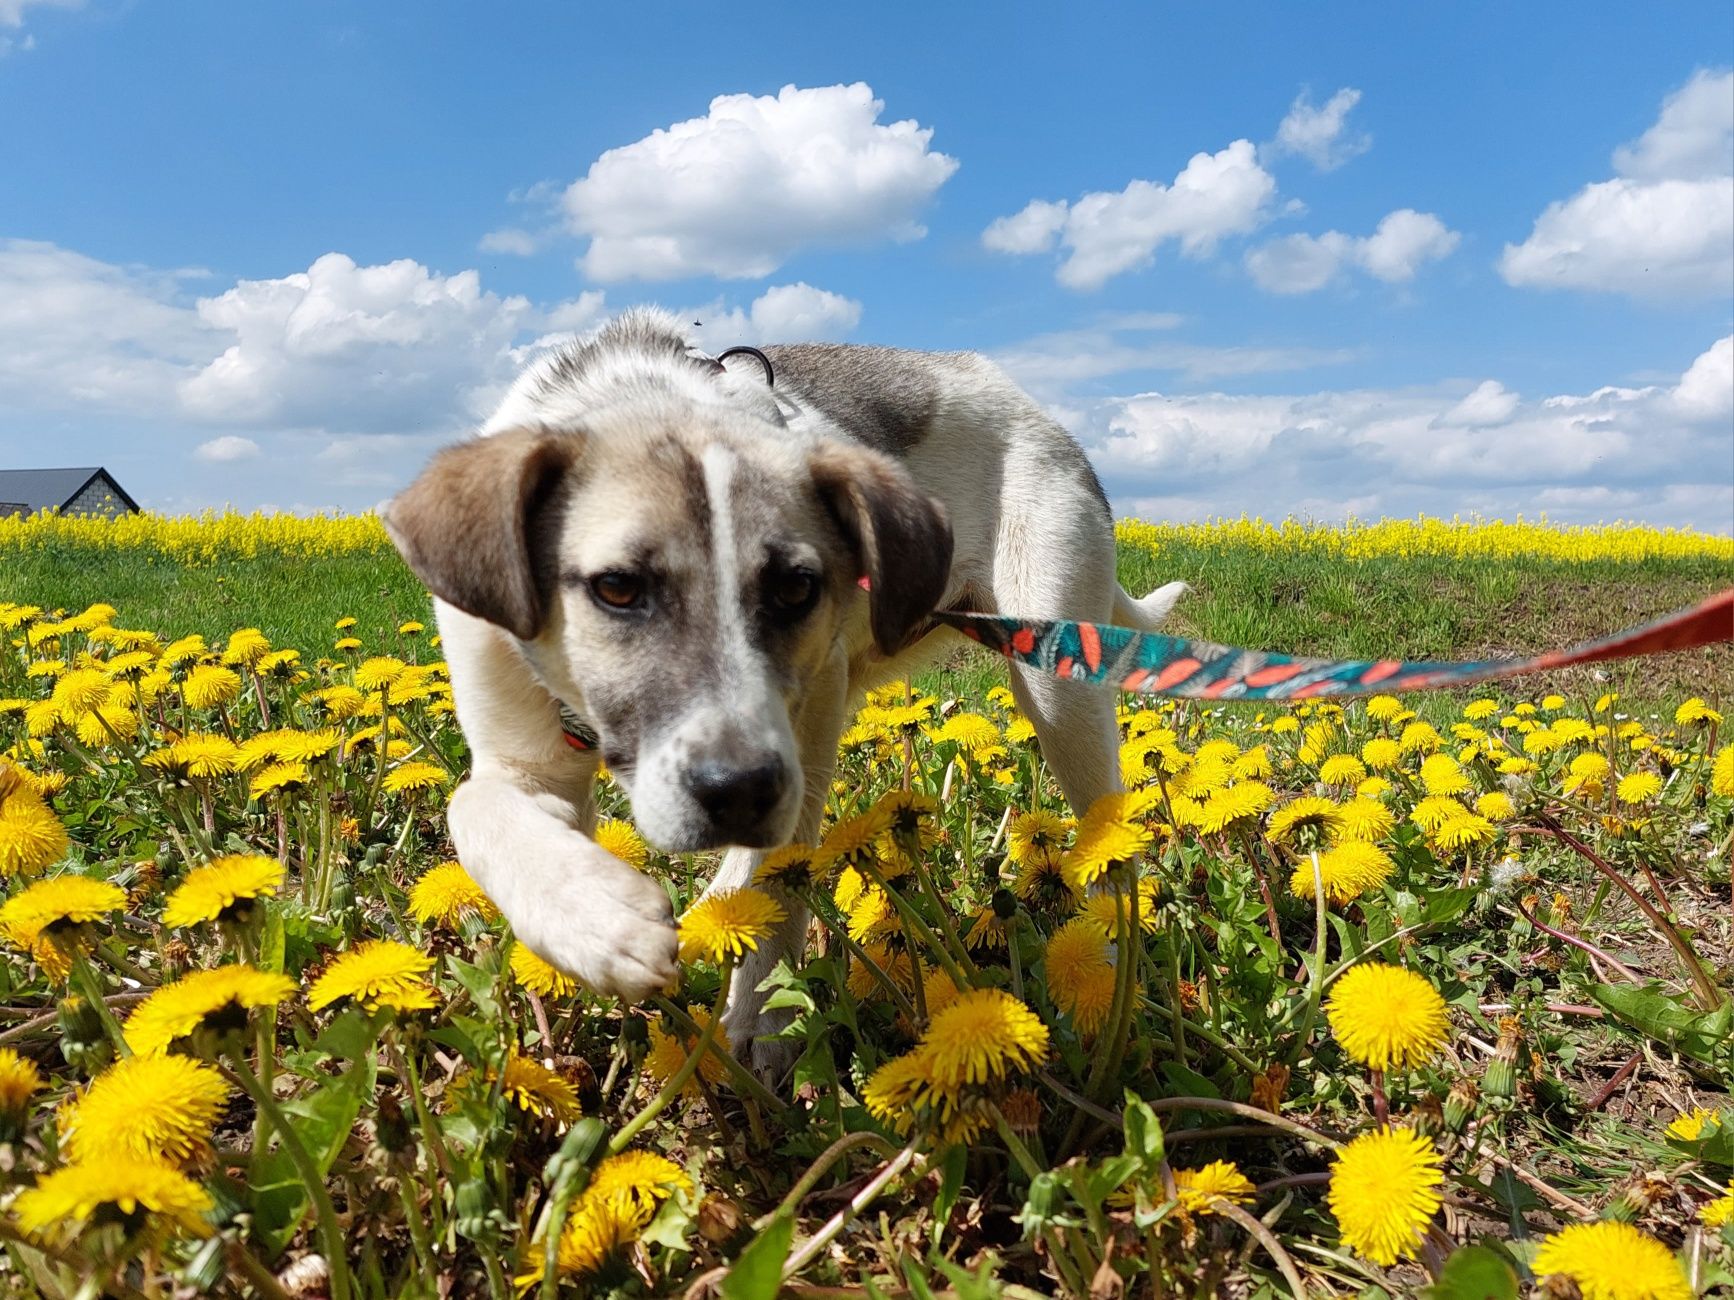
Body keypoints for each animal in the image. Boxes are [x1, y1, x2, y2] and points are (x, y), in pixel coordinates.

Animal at [384, 310, 1186, 1074]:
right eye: (616, 587)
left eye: (797, 587)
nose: (737, 790)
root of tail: (1036, 411)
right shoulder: (524, 760)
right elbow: (473, 810)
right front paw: (592, 916)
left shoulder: (811, 708)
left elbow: (772, 867)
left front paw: (759, 1016)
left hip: (1056, 676)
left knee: (1110, 845)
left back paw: (1104, 975)